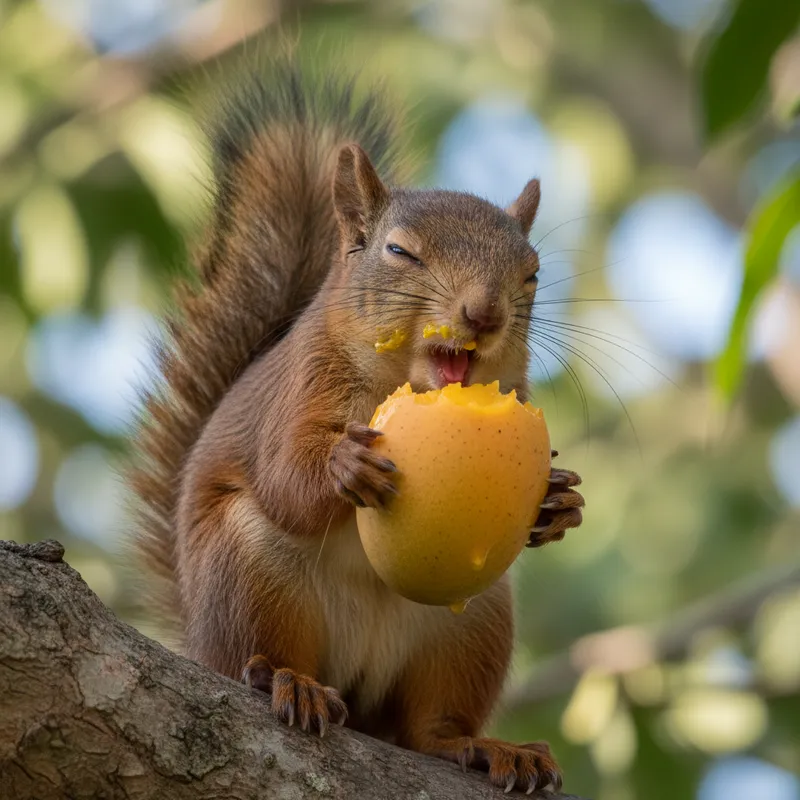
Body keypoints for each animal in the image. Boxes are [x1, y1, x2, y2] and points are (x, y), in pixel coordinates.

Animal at [129, 60, 584, 795]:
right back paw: (289, 681)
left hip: (472, 628)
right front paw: (346, 467)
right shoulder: (299, 392)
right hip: (249, 576)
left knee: (429, 727)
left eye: (533, 274)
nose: (483, 314)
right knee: (262, 654)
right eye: (400, 252)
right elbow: (286, 477)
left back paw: (483, 745)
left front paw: (559, 500)